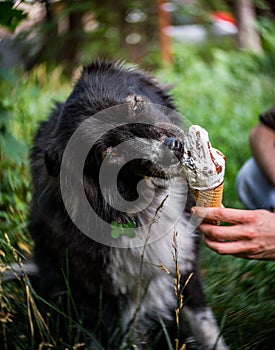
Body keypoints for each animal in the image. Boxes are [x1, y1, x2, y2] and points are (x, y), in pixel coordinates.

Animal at [27, 61, 229, 348]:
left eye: (133, 105)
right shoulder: (113, 299)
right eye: (109, 152)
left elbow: (204, 324)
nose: (176, 148)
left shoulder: (183, 264)